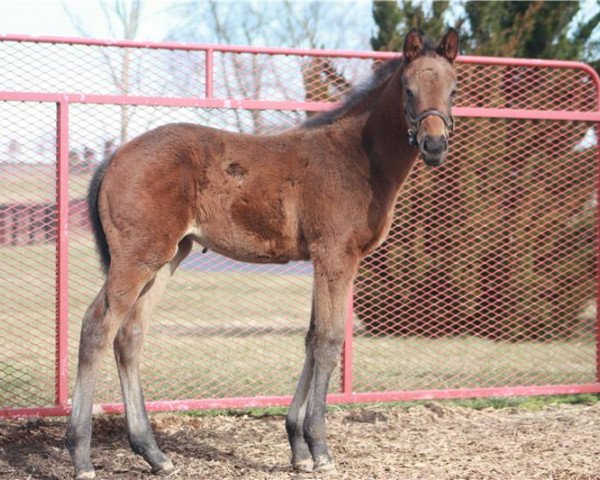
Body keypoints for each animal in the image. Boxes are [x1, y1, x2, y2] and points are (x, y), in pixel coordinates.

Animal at [67, 28, 460, 478]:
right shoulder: (335, 257)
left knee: (129, 336)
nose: (434, 145)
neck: (358, 158)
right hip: (137, 258)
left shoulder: (324, 261)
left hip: (166, 258)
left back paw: (154, 453)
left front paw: (298, 447)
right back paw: (81, 455)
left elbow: (311, 338)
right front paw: (320, 448)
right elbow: (329, 340)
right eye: (408, 90)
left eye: (453, 89)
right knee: (97, 328)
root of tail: (114, 157)